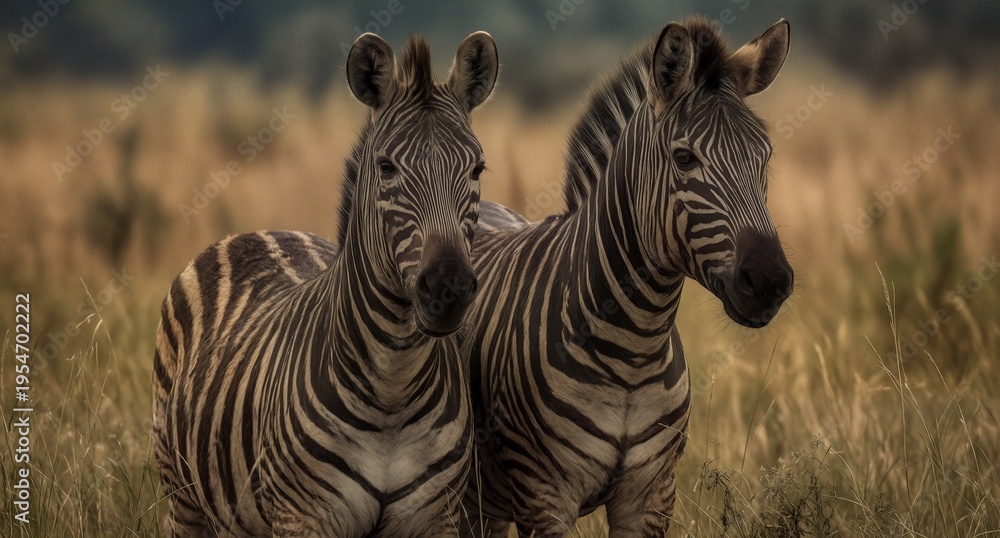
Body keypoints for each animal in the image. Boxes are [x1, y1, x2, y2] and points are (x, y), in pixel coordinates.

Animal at [152, 31, 499, 537]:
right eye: (386, 167)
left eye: (477, 169)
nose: (447, 288)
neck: (393, 387)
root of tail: (254, 232)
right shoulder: (304, 517)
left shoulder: (434, 519)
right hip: (183, 498)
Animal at [461, 18, 793, 536]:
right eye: (684, 158)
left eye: (765, 157)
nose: (770, 281)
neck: (633, 349)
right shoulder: (543, 496)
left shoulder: (651, 495)